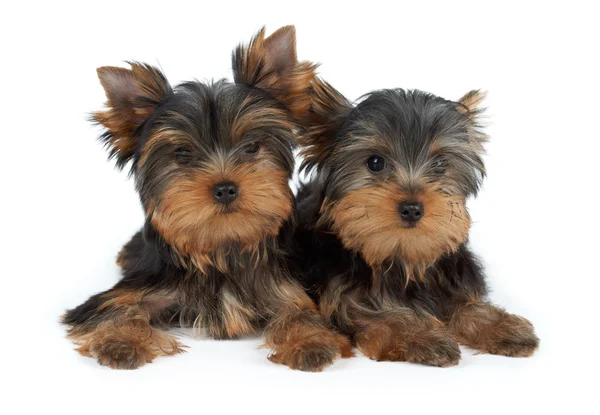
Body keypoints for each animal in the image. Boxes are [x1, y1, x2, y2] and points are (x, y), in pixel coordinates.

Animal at [61, 27, 352, 372]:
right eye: (183, 153)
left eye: (252, 146)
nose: (225, 187)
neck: (220, 246)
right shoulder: (134, 291)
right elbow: (118, 307)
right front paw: (119, 341)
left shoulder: (285, 290)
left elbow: (300, 312)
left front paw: (309, 342)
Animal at [294, 79, 540, 366]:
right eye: (375, 162)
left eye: (440, 163)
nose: (412, 208)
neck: (401, 255)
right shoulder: (345, 298)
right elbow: (381, 317)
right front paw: (422, 336)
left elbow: (465, 304)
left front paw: (502, 327)